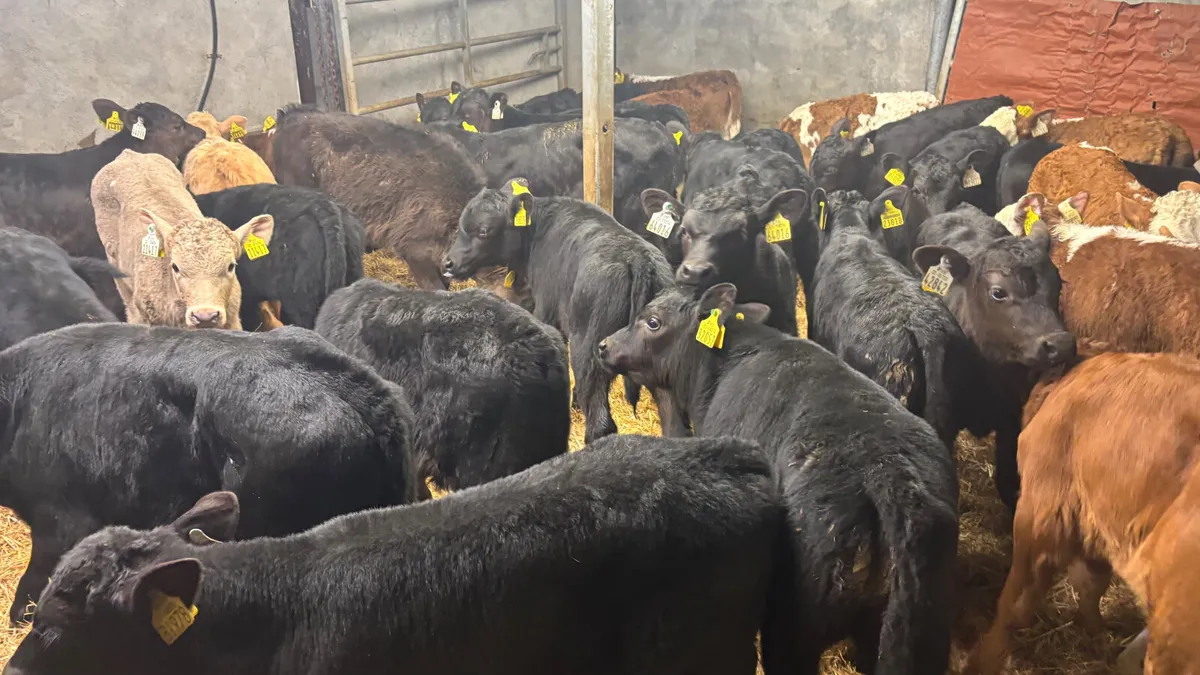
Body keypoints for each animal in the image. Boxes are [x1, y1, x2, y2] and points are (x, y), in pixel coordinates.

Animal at [442, 182, 677, 442]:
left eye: (484, 230)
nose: (448, 263)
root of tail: (637, 260)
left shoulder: (548, 313)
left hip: (588, 349)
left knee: (600, 420)